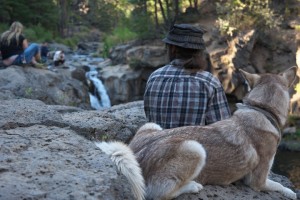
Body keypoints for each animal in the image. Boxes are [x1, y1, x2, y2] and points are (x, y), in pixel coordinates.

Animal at [96, 66, 298, 199]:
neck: (262, 110)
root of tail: (135, 156)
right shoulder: (258, 181)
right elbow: (280, 186)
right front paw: (290, 192)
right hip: (195, 148)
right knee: (161, 194)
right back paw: (192, 186)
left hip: (152, 126)